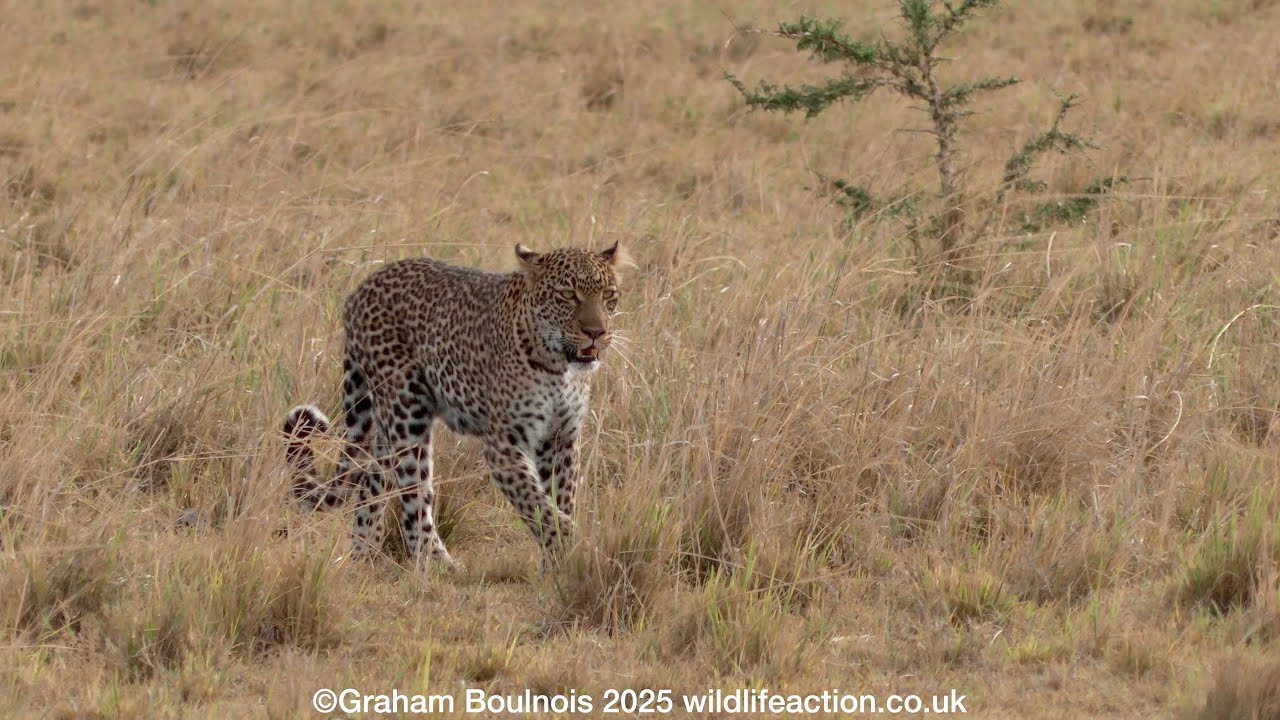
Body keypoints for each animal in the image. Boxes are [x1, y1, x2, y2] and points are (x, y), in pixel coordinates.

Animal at [283, 242, 623, 571]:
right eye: (567, 295)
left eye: (608, 295)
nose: (596, 332)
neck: (558, 368)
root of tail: (360, 290)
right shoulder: (504, 445)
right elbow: (538, 505)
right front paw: (579, 549)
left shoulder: (561, 438)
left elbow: (559, 500)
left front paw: (557, 565)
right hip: (406, 413)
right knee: (414, 501)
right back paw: (437, 566)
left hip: (387, 428)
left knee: (372, 483)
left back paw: (364, 558)